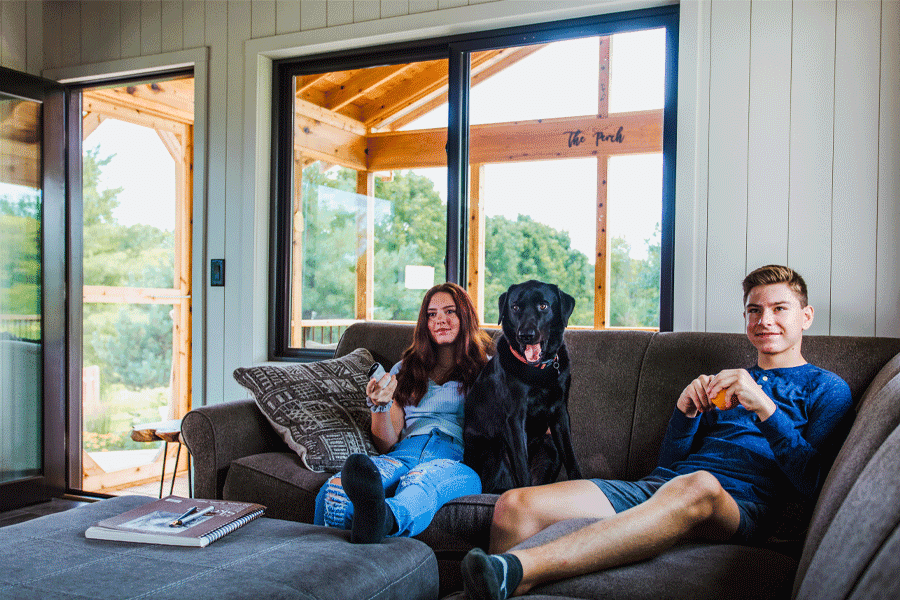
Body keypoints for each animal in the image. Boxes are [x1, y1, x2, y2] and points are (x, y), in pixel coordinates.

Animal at [464, 280, 584, 492]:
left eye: (543, 306)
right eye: (515, 307)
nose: (526, 335)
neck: (539, 370)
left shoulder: (560, 413)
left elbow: (571, 457)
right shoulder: (514, 419)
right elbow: (522, 467)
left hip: (549, 441)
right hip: (494, 447)